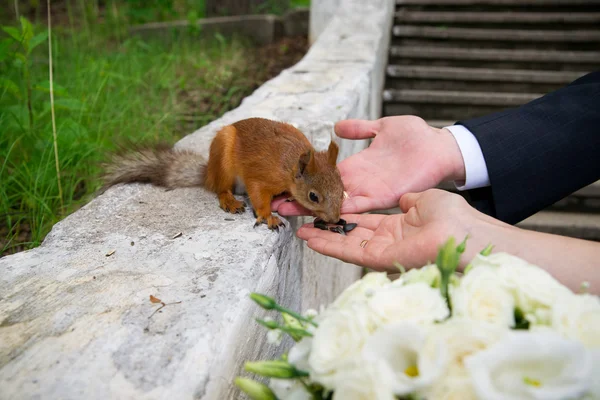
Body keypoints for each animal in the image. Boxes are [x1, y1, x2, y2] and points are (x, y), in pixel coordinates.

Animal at [104, 117, 342, 230]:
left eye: (343, 190)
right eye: (313, 196)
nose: (335, 219)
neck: (290, 167)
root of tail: (209, 173)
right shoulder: (261, 175)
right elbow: (258, 194)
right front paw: (268, 216)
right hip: (224, 162)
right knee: (220, 189)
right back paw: (230, 201)